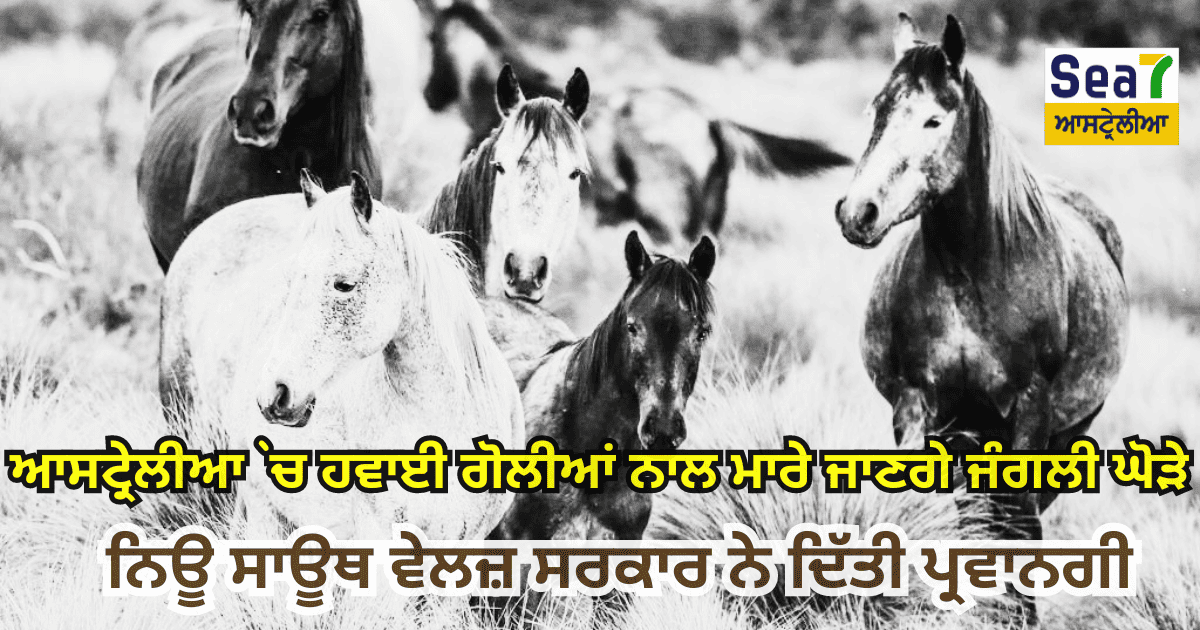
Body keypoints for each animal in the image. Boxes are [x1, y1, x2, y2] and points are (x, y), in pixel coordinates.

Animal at [835, 14, 1128, 619]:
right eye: (877, 109)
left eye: (934, 119)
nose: (858, 213)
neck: (973, 271)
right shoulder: (918, 404)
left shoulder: (1030, 412)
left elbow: (1020, 528)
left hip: (1066, 433)